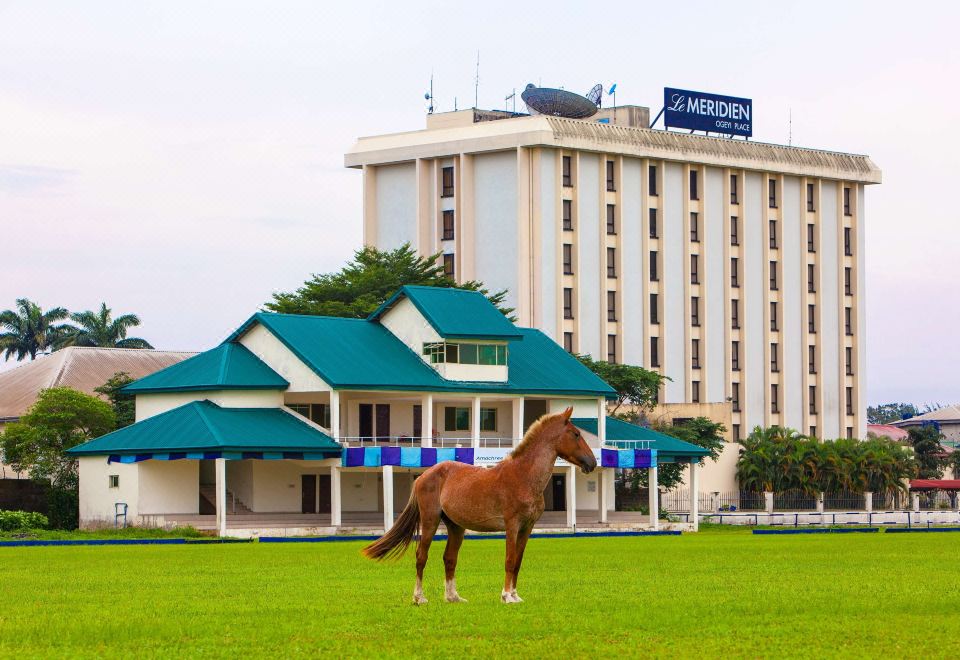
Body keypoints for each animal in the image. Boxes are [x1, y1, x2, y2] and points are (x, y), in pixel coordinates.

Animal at [364, 410, 596, 604]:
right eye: (576, 434)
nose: (592, 463)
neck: (523, 476)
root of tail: (423, 476)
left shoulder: (527, 528)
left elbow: (518, 561)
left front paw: (515, 595)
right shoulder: (512, 526)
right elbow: (510, 560)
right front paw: (506, 596)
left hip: (456, 527)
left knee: (450, 558)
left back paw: (453, 597)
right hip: (430, 521)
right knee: (421, 557)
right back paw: (419, 598)